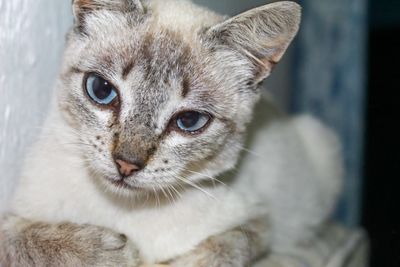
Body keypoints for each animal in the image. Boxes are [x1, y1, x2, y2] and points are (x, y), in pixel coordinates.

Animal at [0, 0, 344, 266]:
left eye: (189, 121)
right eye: (101, 90)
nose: (126, 164)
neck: (123, 208)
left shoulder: (259, 222)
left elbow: (227, 246)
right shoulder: (16, 212)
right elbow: (15, 236)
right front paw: (108, 252)